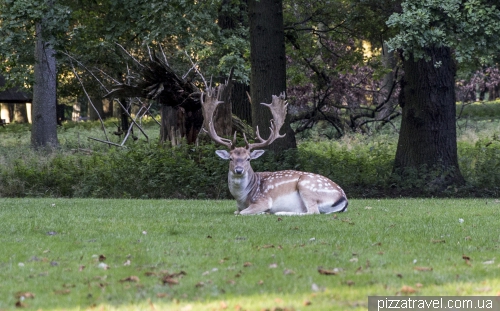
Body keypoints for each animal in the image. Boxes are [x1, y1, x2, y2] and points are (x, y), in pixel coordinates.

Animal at [199, 86, 348, 216]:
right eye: (231, 158)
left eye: (248, 158)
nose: (239, 170)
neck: (242, 198)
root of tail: (344, 199)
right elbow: (236, 212)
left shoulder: (263, 200)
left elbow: (241, 213)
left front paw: (262, 212)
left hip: (307, 187)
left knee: (313, 212)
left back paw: (280, 212)